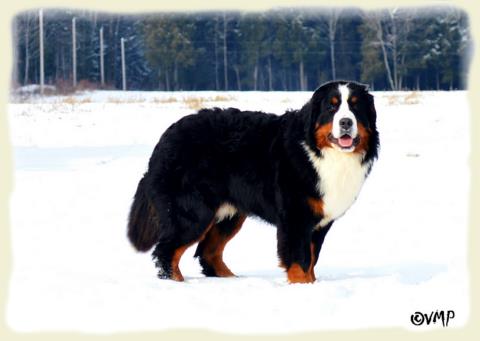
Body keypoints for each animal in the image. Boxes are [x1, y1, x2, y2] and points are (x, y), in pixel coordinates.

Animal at [126, 79, 378, 282]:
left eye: (355, 106)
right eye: (331, 107)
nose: (346, 122)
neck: (320, 153)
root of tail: (164, 139)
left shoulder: (319, 223)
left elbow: (311, 259)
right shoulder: (295, 218)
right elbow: (300, 261)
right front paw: (302, 287)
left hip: (228, 214)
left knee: (208, 252)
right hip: (193, 212)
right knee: (167, 251)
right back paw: (176, 283)